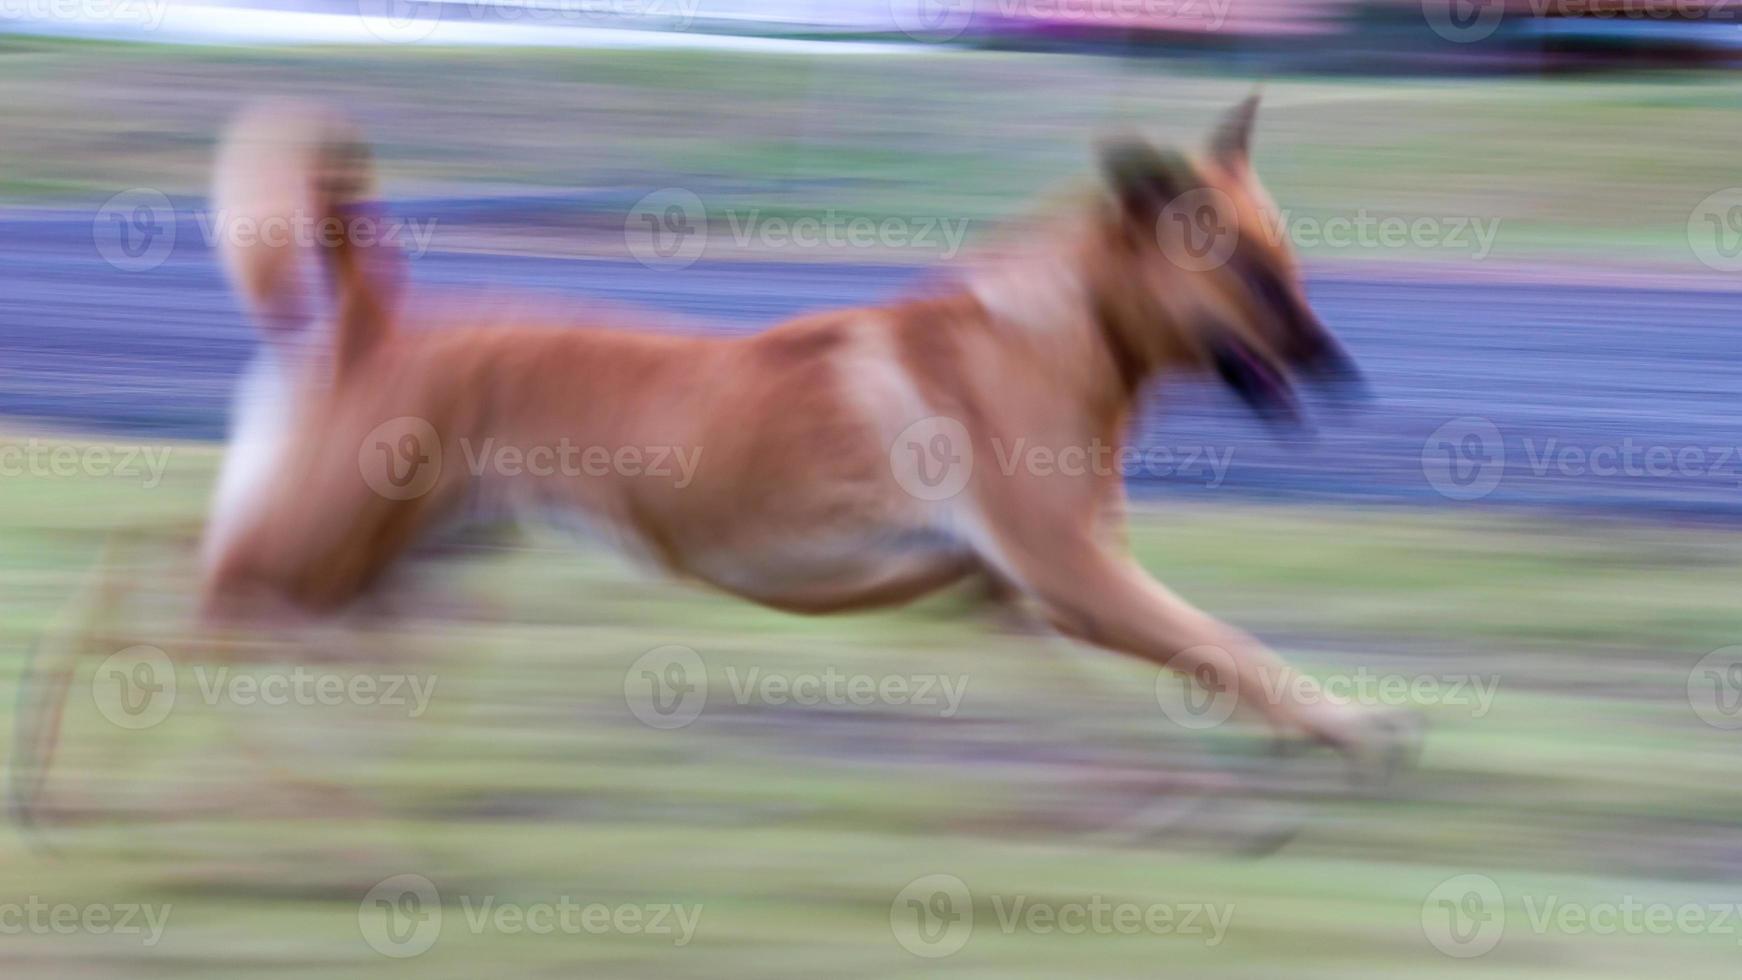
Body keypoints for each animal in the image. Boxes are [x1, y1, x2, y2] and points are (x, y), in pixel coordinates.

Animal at [197, 93, 1407, 765]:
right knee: (203, 606)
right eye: (1248, 273)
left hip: (396, 559)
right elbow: (1233, 648)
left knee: (335, 643)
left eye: (1288, 260)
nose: (1343, 377)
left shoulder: (1026, 597)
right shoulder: (1075, 578)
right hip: (315, 547)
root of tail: (372, 317)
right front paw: (1346, 725)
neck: (1061, 328)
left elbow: (1172, 679)